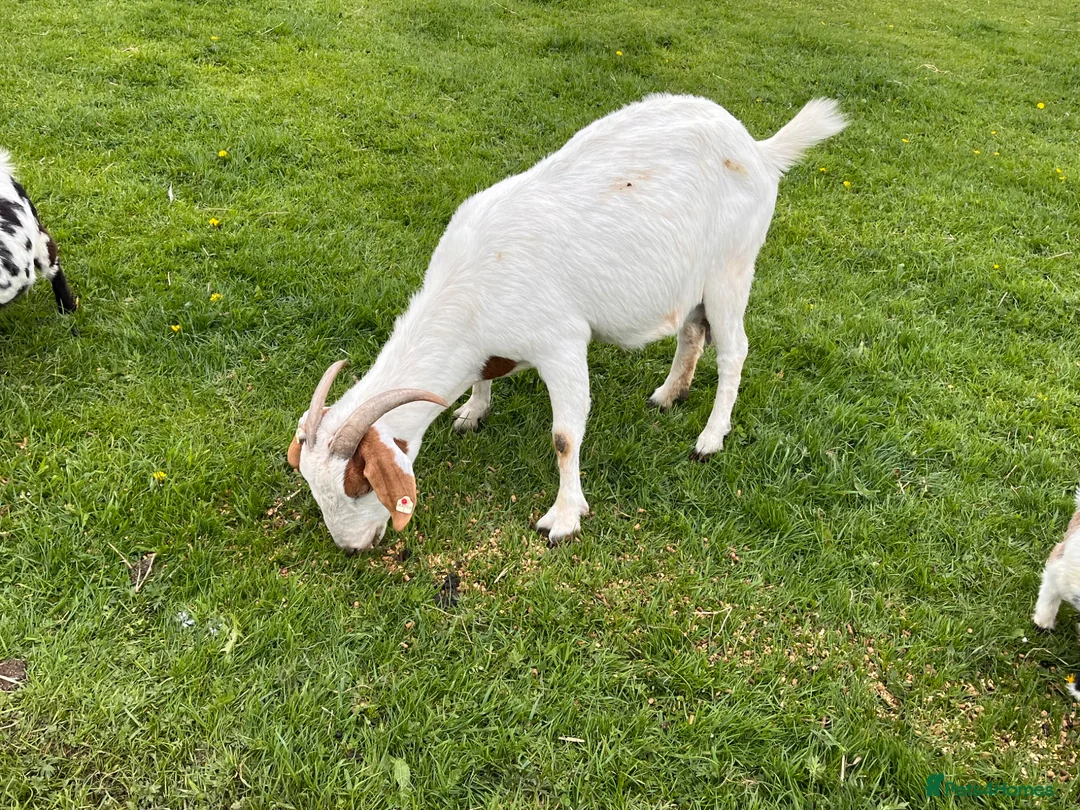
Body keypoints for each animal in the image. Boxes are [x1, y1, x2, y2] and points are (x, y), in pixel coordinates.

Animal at [288, 93, 846, 552]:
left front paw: (562, 518)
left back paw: (710, 438)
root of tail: (759, 149)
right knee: (692, 332)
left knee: (733, 351)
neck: (472, 288)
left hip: (731, 269)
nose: (351, 548)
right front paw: (472, 411)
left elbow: (564, 437)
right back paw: (669, 394)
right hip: (691, 283)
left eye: (359, 485)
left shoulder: (561, 342)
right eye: (316, 488)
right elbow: (485, 379)